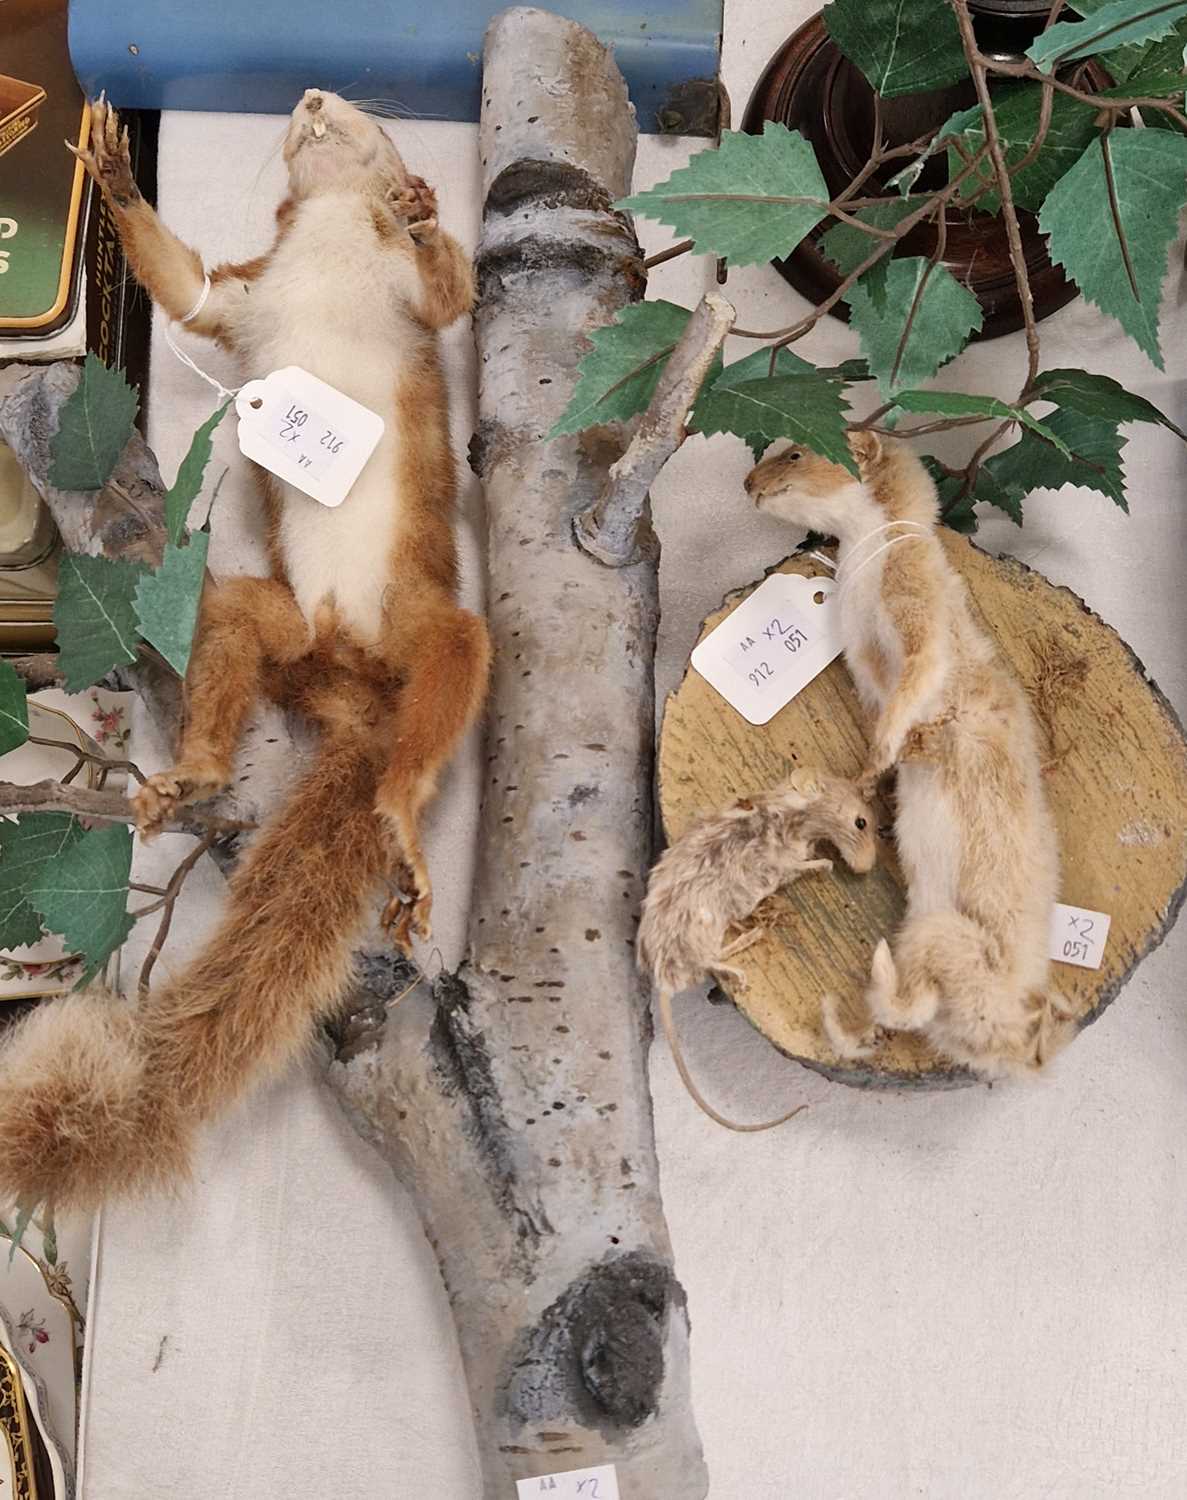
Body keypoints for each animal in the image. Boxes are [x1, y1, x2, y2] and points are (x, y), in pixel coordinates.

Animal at [0, 92, 490, 1211]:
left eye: (357, 108)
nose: (308, 101)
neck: (327, 244)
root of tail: (351, 679)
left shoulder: (412, 296)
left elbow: (450, 291)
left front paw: (424, 206)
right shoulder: (242, 297)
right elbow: (186, 292)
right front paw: (112, 168)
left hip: (429, 624)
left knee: (435, 712)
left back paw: (403, 824)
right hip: (265, 618)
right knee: (230, 647)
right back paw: (191, 775)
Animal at [638, 768, 877, 1130]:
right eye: (860, 822)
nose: (866, 867)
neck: (794, 813)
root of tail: (662, 980)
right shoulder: (788, 863)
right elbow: (807, 865)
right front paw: (825, 864)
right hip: (707, 927)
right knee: (712, 961)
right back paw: (748, 944)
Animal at [745, 432, 1074, 1080]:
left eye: (794, 452)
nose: (746, 483)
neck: (862, 568)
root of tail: (1007, 1041)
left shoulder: (914, 599)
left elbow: (921, 671)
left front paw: (882, 755)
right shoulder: (862, 654)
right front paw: (884, 763)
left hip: (942, 940)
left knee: (908, 1005)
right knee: (897, 1019)